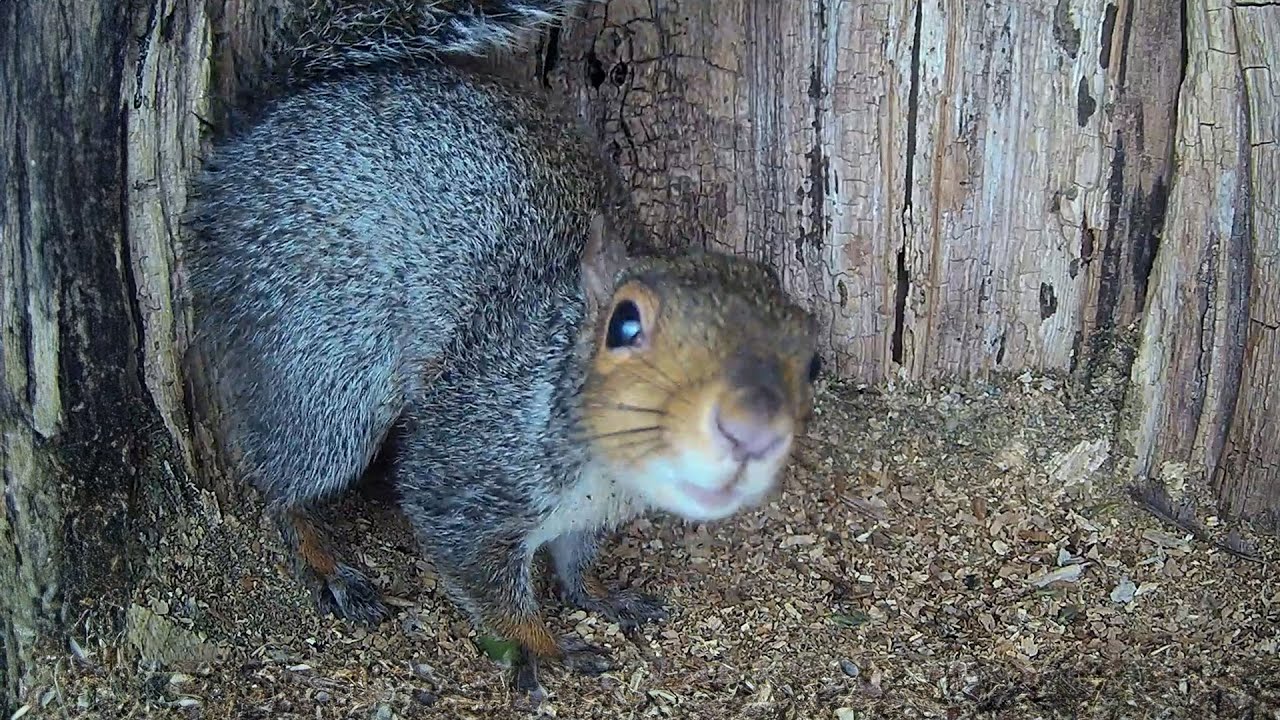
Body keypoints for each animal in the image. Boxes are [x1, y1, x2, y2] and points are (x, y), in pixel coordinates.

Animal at [182, 0, 823, 696]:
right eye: (624, 326)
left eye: (814, 361)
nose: (750, 430)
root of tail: (261, 129)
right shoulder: (464, 475)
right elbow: (483, 579)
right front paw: (546, 647)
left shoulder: (591, 512)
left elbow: (576, 561)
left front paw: (602, 594)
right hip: (327, 373)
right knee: (281, 479)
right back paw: (325, 560)